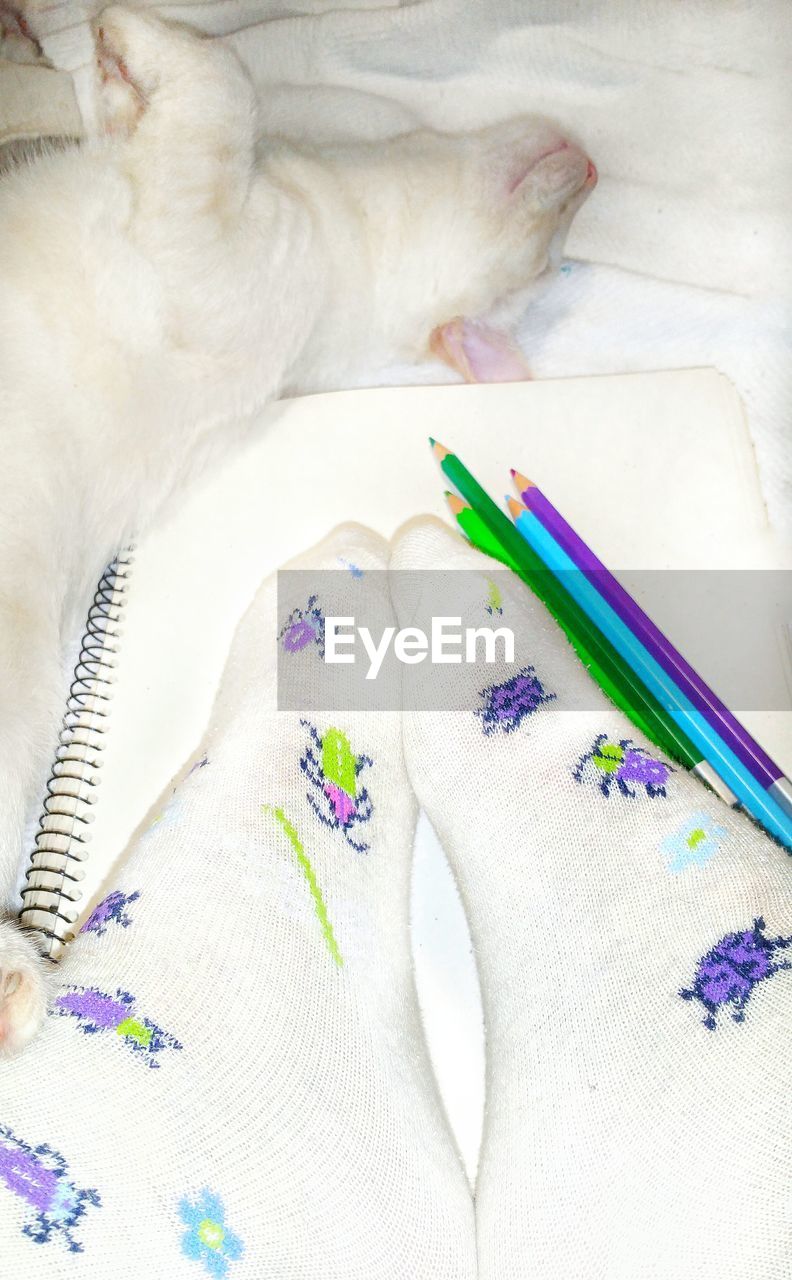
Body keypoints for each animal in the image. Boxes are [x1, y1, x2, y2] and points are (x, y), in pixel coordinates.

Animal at [0, 5, 593, 1054]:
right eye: (554, 250)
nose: (598, 172)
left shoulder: (200, 224)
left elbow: (217, 82)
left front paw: (109, 33)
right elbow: (121, 104)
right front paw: (75, 54)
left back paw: (15, 986)